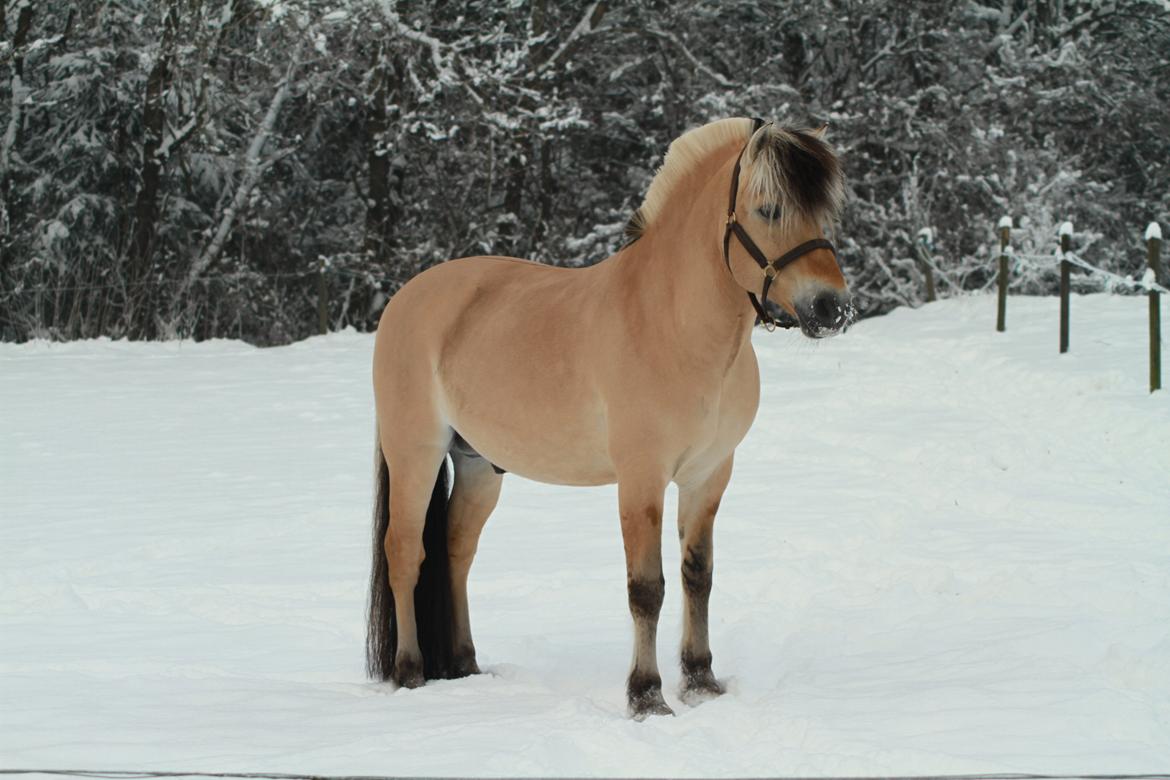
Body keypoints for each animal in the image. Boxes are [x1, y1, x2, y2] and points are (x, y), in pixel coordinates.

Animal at [369, 117, 856, 720]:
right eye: (768, 209)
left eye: (823, 210)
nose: (832, 308)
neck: (672, 323)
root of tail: (406, 298)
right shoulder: (641, 479)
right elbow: (646, 588)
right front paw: (647, 696)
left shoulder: (708, 475)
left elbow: (698, 576)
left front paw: (701, 681)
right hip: (415, 452)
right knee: (405, 553)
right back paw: (410, 672)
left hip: (480, 465)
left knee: (457, 551)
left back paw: (464, 664)